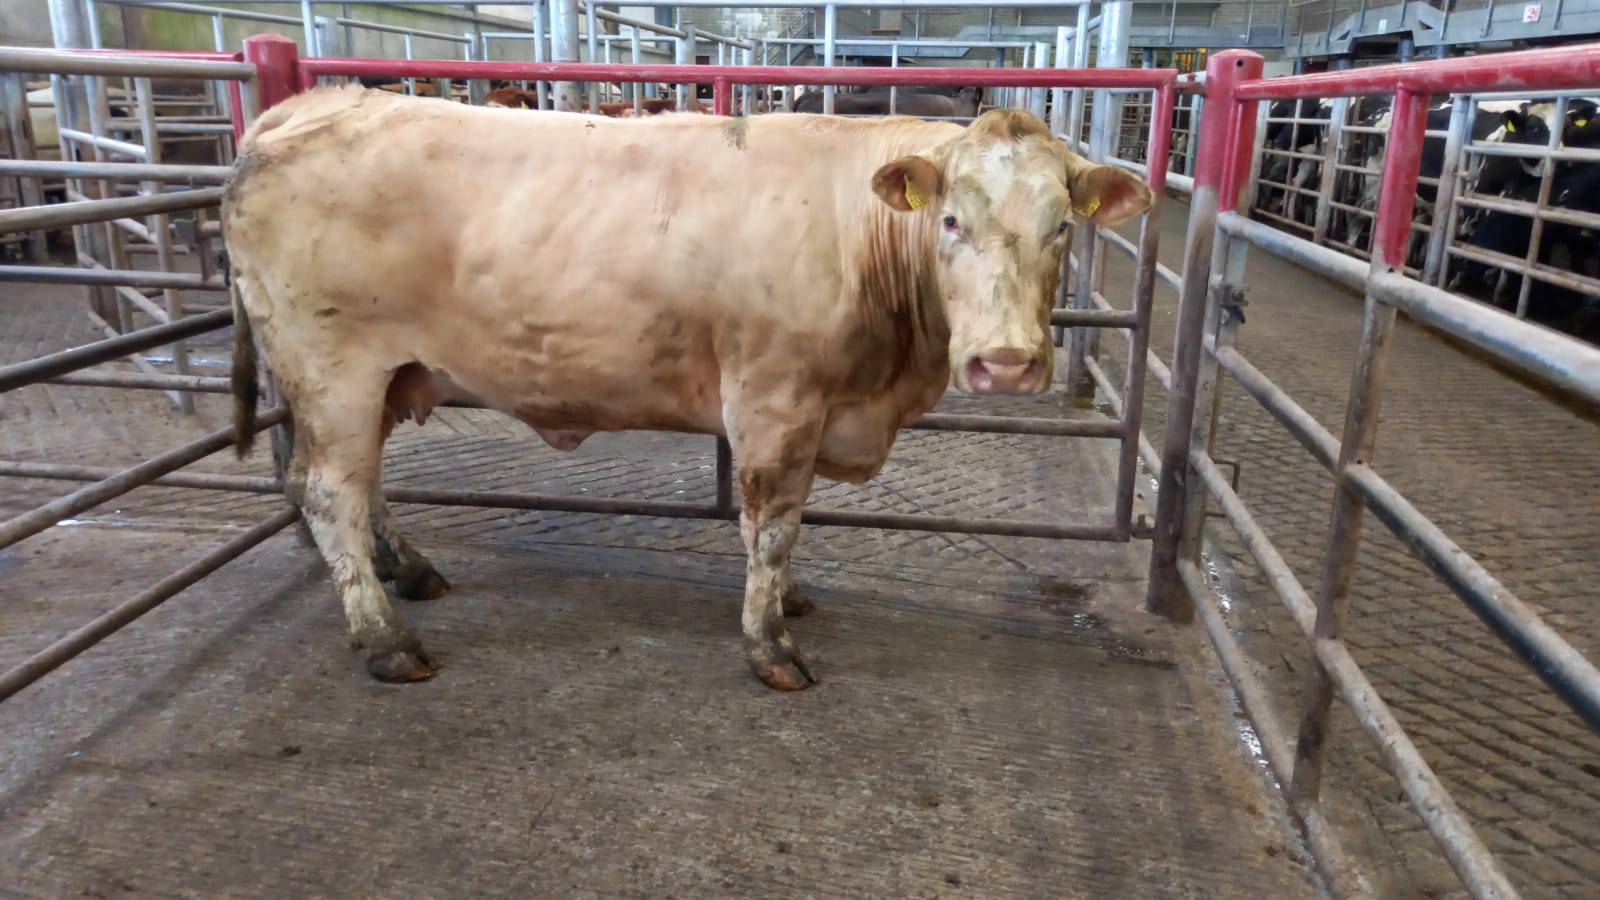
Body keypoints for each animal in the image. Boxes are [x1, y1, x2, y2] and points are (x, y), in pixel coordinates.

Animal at [221, 88, 1152, 688]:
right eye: (950, 220)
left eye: (1060, 228)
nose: (1007, 361)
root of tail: (308, 104)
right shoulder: (776, 402)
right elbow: (773, 523)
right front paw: (770, 644)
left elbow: (783, 528)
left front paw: (788, 601)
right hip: (333, 366)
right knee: (328, 491)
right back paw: (385, 638)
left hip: (377, 378)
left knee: (358, 483)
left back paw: (407, 570)